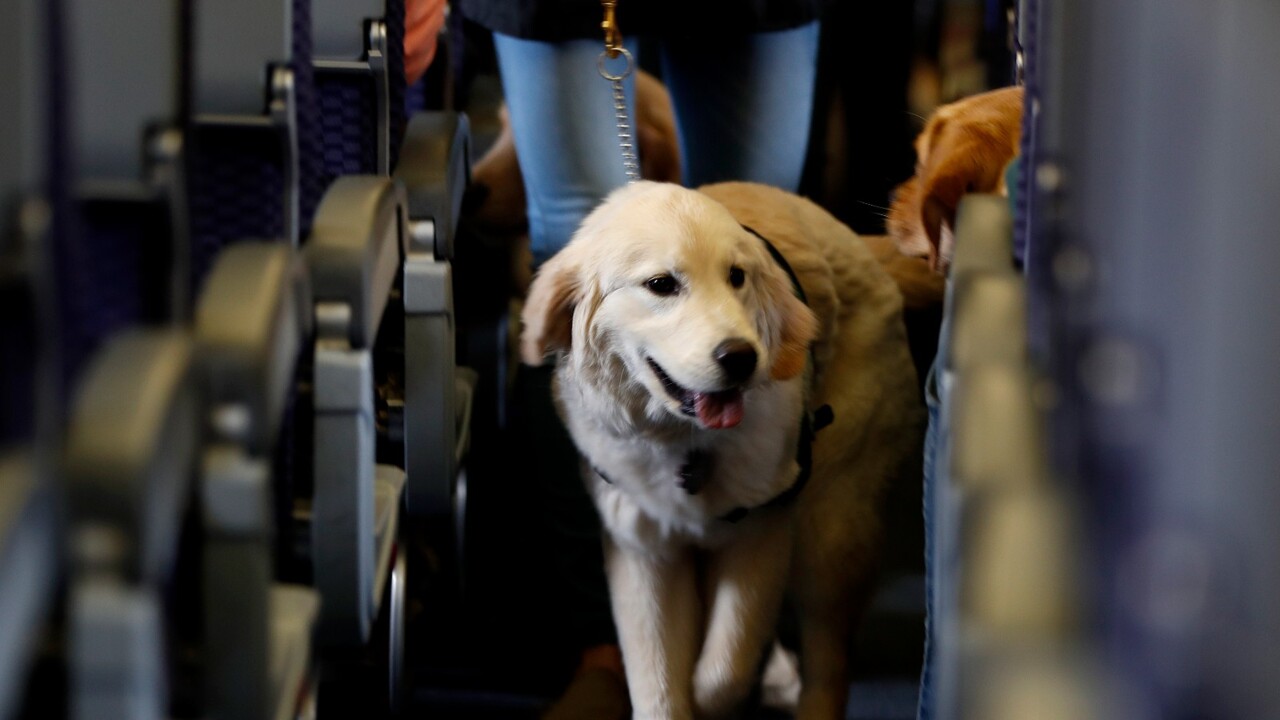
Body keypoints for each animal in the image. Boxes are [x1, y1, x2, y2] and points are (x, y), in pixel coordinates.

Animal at [522, 180, 931, 717]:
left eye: (737, 277)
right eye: (661, 285)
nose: (741, 358)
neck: (685, 442)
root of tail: (860, 244)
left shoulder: (762, 531)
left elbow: (725, 667)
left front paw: (715, 697)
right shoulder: (642, 548)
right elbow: (658, 684)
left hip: (833, 530)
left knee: (829, 664)